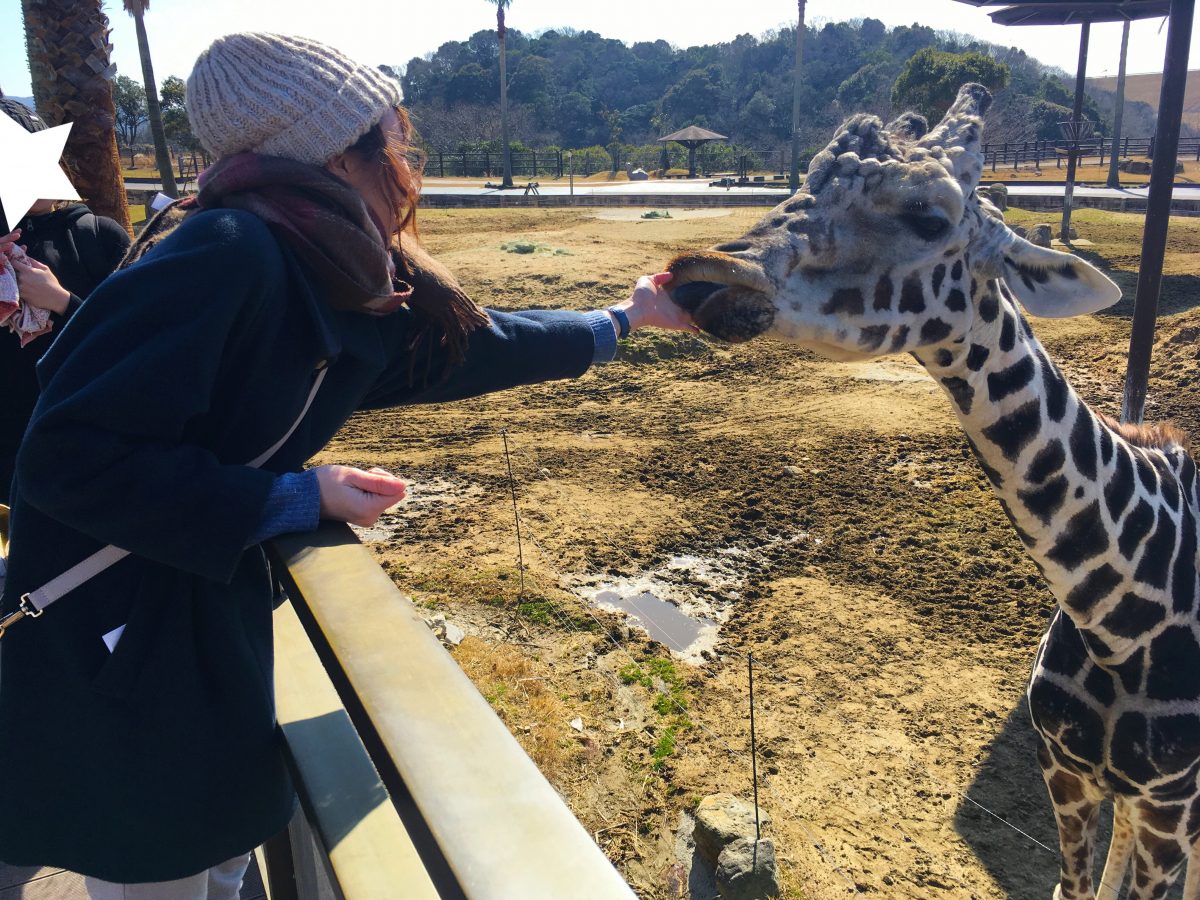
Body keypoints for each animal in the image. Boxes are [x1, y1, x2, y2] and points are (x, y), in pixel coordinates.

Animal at [672, 81, 1200, 897]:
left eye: (929, 216)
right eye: (811, 170)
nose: (700, 275)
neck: (1122, 620)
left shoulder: (1169, 803)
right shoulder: (1068, 773)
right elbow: (1071, 885)